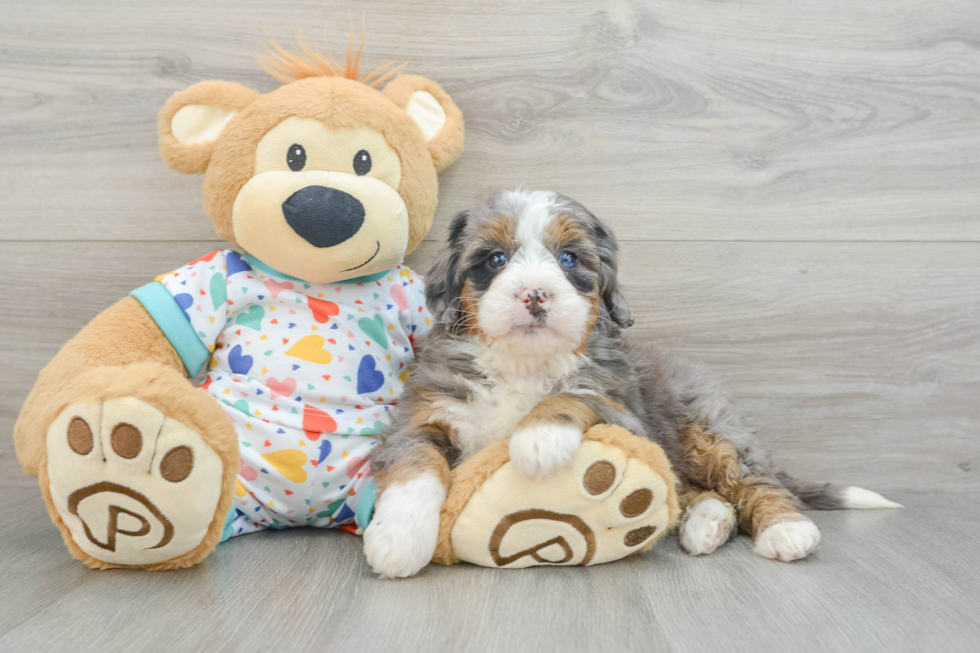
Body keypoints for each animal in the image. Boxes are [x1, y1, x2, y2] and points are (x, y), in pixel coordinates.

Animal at [364, 188, 900, 576]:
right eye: (495, 259)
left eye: (569, 260)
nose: (535, 293)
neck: (524, 363)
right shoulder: (423, 413)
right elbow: (414, 465)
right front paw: (397, 540)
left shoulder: (625, 410)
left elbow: (576, 393)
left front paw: (539, 438)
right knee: (690, 490)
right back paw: (707, 522)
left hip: (708, 426)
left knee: (749, 480)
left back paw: (784, 530)